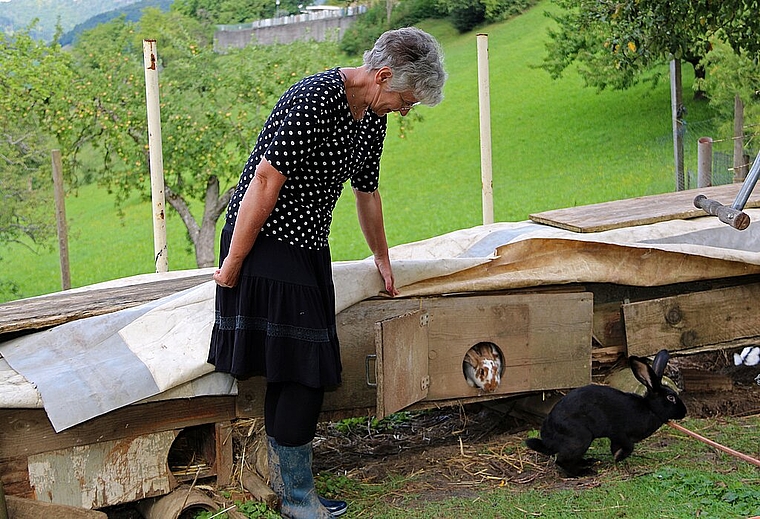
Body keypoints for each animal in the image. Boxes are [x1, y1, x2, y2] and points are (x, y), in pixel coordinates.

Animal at [524, 350, 684, 480]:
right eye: (671, 398)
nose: (684, 411)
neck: (649, 408)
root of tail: (548, 439)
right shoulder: (619, 433)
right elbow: (629, 446)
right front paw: (618, 457)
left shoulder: (616, 438)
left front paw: (615, 456)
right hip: (580, 437)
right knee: (562, 460)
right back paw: (584, 472)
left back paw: (589, 462)